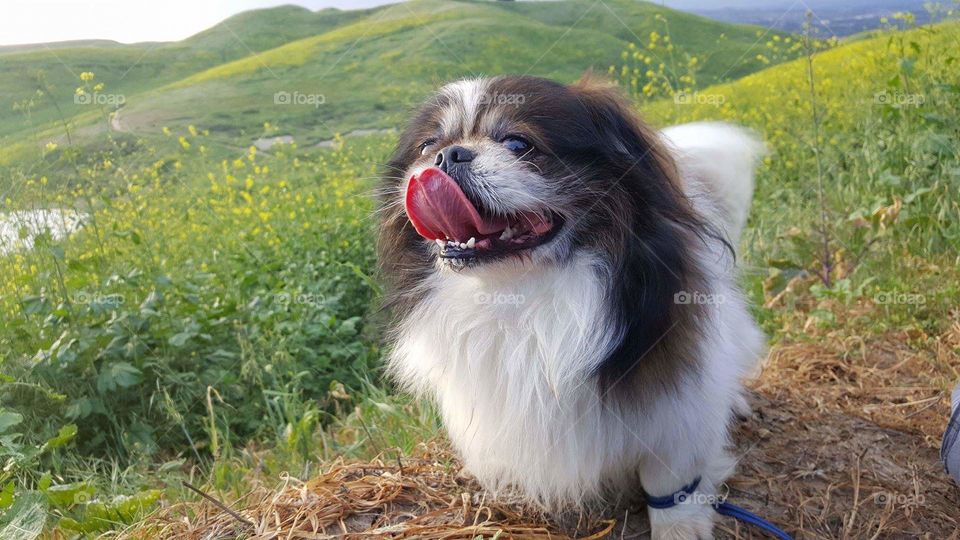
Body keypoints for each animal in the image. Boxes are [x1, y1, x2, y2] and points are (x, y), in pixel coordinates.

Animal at [376, 77, 764, 540]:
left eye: (518, 144)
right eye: (428, 146)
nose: (448, 155)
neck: (517, 294)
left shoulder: (674, 411)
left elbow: (671, 487)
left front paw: (679, 528)